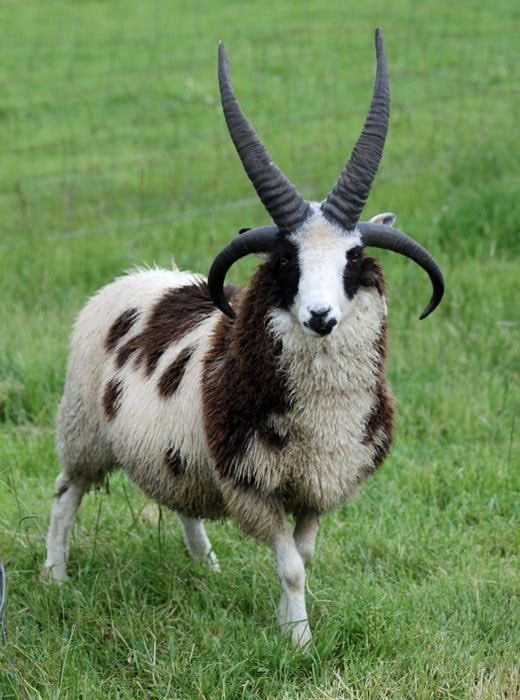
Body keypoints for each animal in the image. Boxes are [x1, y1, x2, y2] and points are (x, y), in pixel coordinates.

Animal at [45, 29, 444, 647]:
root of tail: (132, 278)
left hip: (174, 449)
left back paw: (203, 564)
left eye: (354, 258)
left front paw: (286, 624)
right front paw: (300, 642)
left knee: (178, 498)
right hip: (83, 428)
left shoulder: (317, 485)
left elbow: (302, 558)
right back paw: (56, 578)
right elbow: (290, 565)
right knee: (66, 494)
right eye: (284, 261)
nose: (321, 317)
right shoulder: (252, 488)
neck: (322, 416)